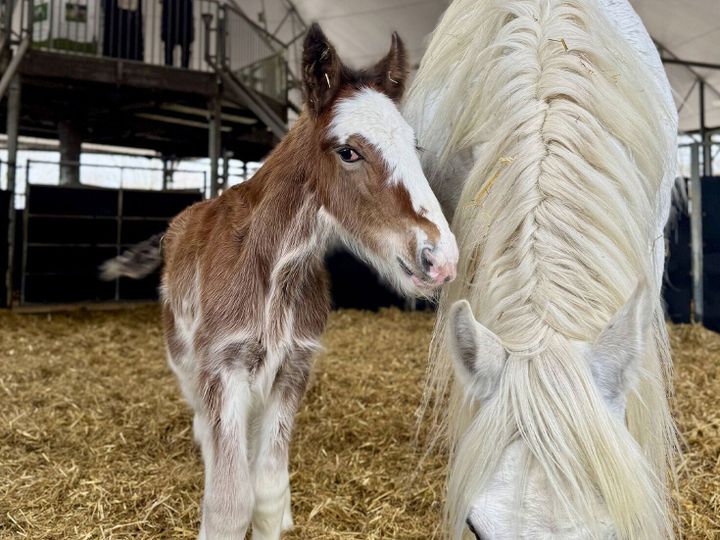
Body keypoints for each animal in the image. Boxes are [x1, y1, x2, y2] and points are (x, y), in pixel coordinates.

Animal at [101, 24, 458, 540]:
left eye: (414, 147)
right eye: (348, 152)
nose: (441, 259)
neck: (274, 272)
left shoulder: (293, 367)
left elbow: (268, 495)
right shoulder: (222, 367)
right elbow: (229, 504)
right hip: (185, 360)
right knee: (205, 429)